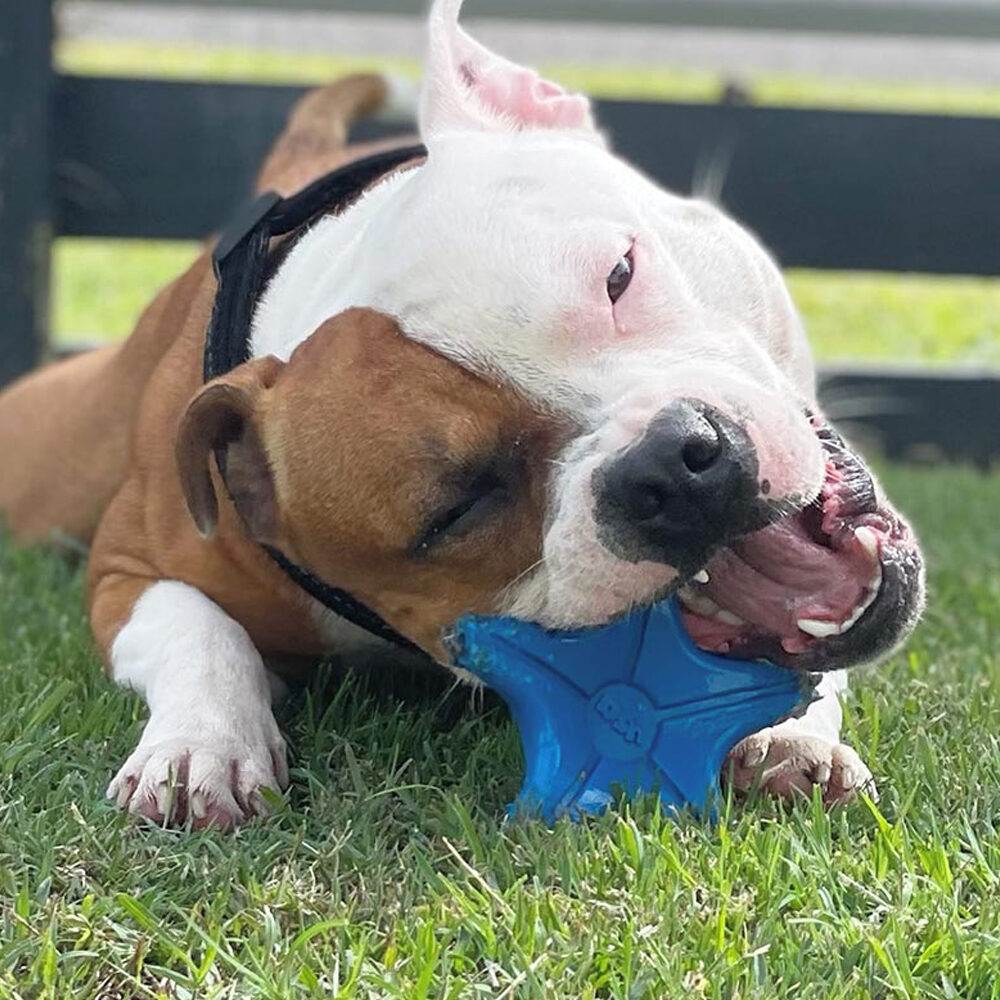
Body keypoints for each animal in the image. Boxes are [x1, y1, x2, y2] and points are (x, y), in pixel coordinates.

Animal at [0, 0, 920, 828]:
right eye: (457, 510)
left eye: (618, 275)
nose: (677, 462)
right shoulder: (128, 567)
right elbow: (196, 627)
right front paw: (201, 746)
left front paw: (791, 736)